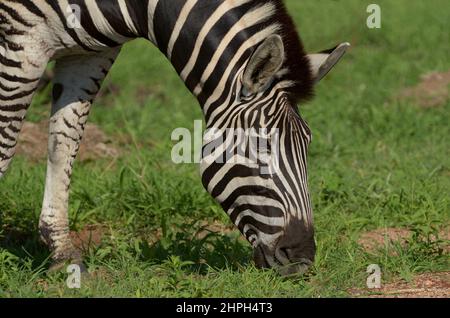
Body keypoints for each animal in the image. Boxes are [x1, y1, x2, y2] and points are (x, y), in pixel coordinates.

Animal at [0, 0, 348, 276]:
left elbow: (64, 143)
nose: (302, 259)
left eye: (308, 144)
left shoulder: (89, 54)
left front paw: (62, 252)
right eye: (259, 147)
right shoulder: (22, 41)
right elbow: (5, 146)